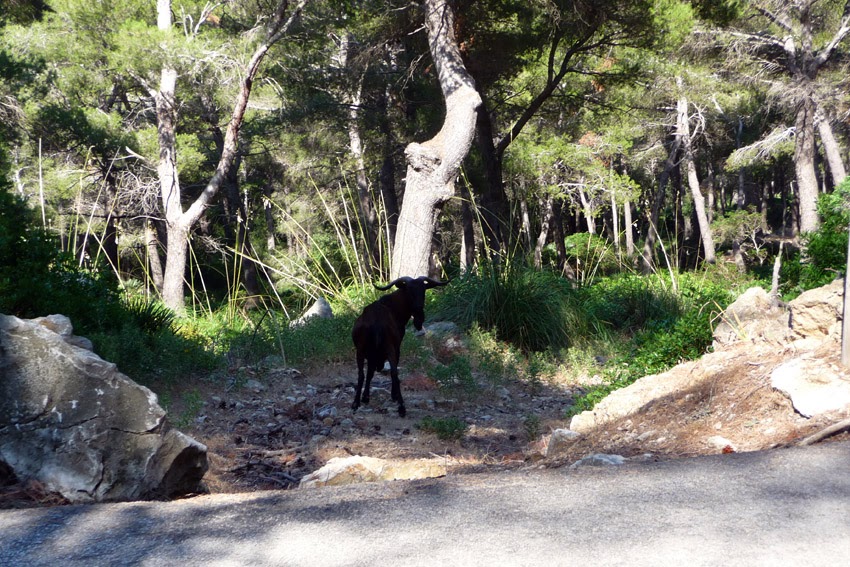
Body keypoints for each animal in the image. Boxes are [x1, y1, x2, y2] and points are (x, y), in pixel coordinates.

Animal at [352, 276, 448, 418]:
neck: (394, 308)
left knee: (361, 374)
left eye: (423, 290)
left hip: (361, 350)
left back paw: (355, 403)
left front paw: (365, 397)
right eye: (409, 291)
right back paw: (401, 407)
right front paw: (392, 396)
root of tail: (376, 323)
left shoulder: (372, 355)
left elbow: (369, 373)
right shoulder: (397, 346)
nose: (419, 314)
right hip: (390, 348)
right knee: (394, 373)